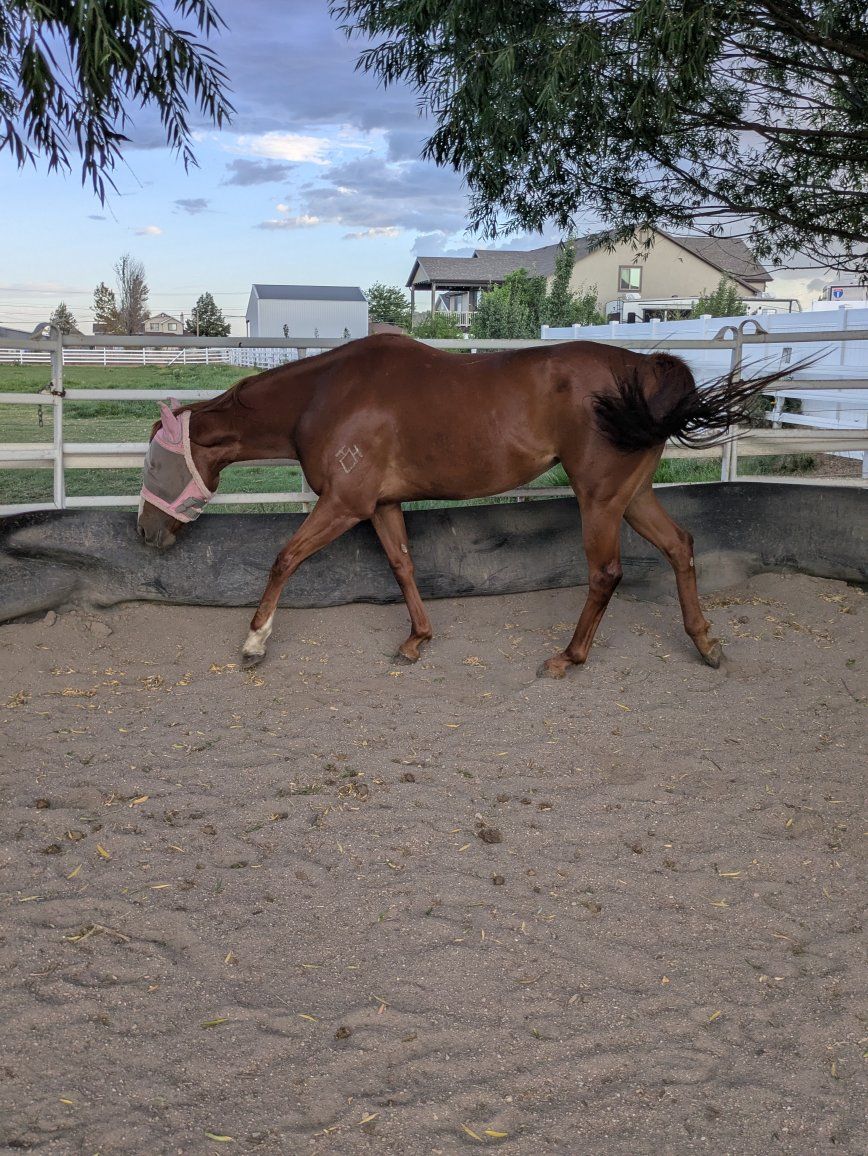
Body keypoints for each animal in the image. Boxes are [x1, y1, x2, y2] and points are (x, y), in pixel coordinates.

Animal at [137, 333, 787, 677]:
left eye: (151, 464)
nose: (146, 533)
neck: (324, 397)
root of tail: (644, 368)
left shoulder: (344, 503)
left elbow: (284, 559)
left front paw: (254, 641)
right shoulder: (381, 504)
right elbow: (403, 566)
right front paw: (417, 639)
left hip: (600, 497)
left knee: (606, 572)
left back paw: (568, 657)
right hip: (633, 495)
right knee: (680, 546)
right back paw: (705, 643)